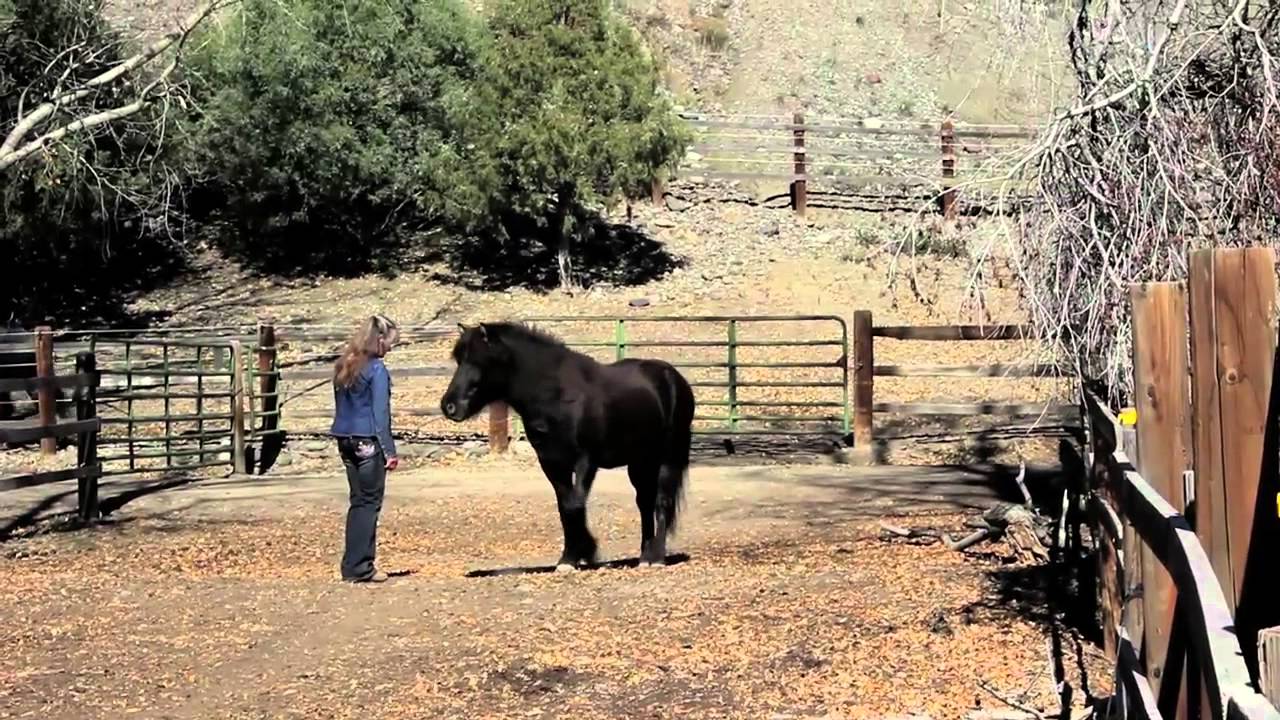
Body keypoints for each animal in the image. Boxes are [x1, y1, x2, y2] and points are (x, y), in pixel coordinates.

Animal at [440, 321, 696, 570]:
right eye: (459, 360)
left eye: (480, 361)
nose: (449, 406)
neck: (557, 395)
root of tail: (673, 378)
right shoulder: (552, 462)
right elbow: (565, 506)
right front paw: (570, 558)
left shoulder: (586, 460)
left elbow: (576, 503)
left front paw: (584, 552)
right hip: (640, 462)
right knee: (645, 502)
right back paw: (644, 557)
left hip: (669, 456)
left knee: (662, 502)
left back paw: (657, 558)